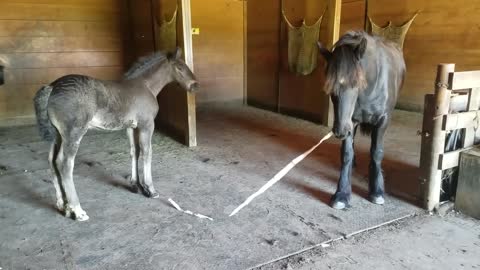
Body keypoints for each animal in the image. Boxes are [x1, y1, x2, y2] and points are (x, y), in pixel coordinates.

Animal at [318, 31, 404, 209]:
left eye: (356, 84)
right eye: (331, 89)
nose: (339, 131)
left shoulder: (383, 121)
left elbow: (377, 152)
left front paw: (377, 191)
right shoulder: (351, 121)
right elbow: (346, 154)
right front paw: (342, 194)